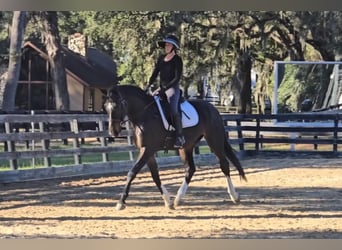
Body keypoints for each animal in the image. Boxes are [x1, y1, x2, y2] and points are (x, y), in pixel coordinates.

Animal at [103, 85, 246, 210]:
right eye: (106, 107)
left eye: (116, 106)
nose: (113, 132)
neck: (145, 115)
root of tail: (213, 108)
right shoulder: (147, 151)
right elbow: (155, 175)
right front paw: (168, 201)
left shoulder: (148, 149)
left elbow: (132, 172)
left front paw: (121, 202)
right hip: (186, 146)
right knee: (190, 169)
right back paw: (178, 198)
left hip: (214, 140)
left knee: (224, 165)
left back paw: (234, 196)